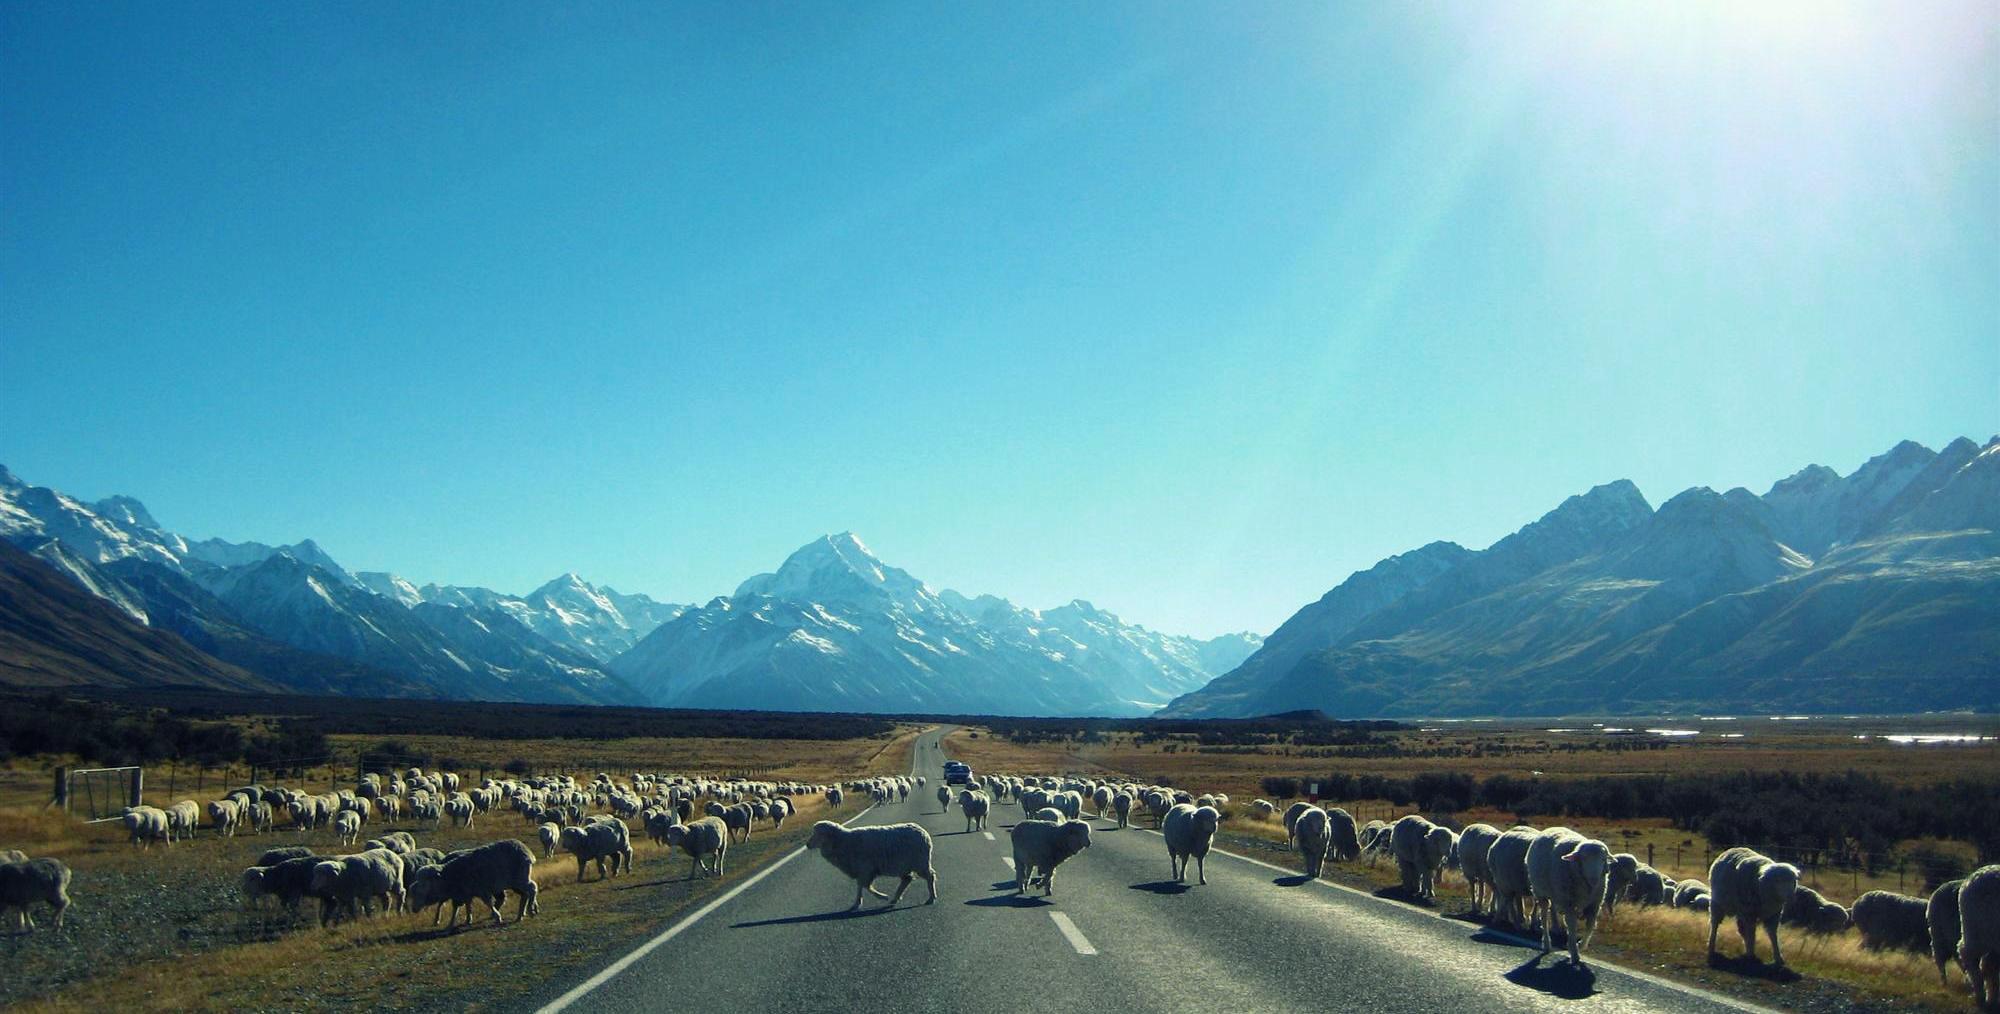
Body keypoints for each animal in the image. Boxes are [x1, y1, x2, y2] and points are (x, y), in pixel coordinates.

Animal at [406, 836, 540, 932]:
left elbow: (488, 903)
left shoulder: (481, 889)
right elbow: (458, 908)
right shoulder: (462, 894)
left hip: (519, 878)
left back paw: (531, 910)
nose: (414, 909)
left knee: (532, 888)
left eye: (423, 888)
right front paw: (452, 923)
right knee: (525, 894)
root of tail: (527, 851)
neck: (450, 876)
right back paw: (520, 915)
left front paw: (497, 916)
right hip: (515, 883)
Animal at [804, 824, 936, 912]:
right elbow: (860, 886)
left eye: (818, 833)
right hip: (905, 865)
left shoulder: (866, 869)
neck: (843, 842)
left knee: (930, 876)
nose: (807, 844)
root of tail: (923, 832)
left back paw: (931, 898)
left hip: (920, 863)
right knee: (907, 880)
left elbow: (866, 886)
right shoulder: (861, 870)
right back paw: (895, 899)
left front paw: (882, 897)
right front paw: (857, 903)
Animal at [1528, 828, 1608, 964]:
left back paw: (1556, 928)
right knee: (1544, 916)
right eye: (1584, 858)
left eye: (1603, 859)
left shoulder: (1595, 904)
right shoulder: (1569, 903)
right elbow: (1572, 925)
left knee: (1553, 909)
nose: (1594, 879)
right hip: (1540, 892)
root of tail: (1549, 829)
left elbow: (1590, 926)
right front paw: (1574, 953)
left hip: (1555, 892)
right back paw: (1546, 944)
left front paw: (1580, 945)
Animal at [1952, 868, 2000, 1012]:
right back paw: (1981, 995)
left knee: (1988, 965)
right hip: (1975, 931)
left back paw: (1991, 999)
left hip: (1991, 938)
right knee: (1968, 955)